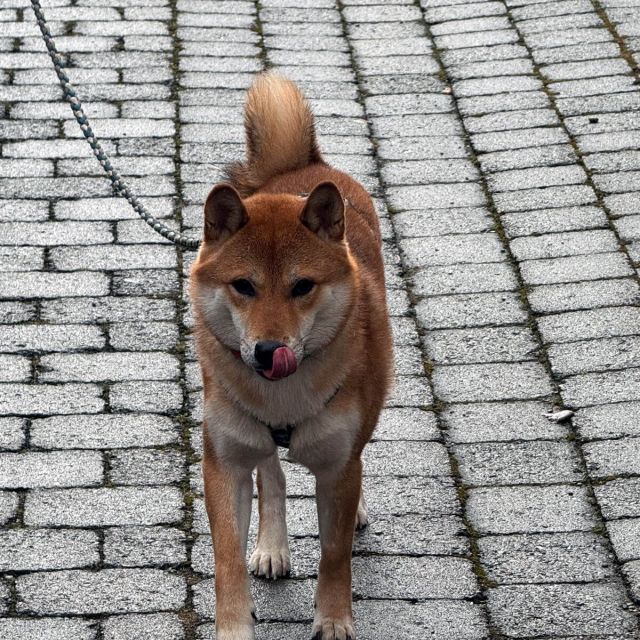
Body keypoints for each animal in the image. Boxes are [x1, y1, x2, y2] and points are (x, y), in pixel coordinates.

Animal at [188, 72, 392, 636]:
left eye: (302, 287)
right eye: (243, 286)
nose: (267, 350)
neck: (282, 399)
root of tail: (300, 167)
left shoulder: (338, 467)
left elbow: (335, 553)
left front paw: (334, 618)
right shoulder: (223, 461)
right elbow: (227, 557)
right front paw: (234, 625)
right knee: (272, 473)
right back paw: (272, 547)